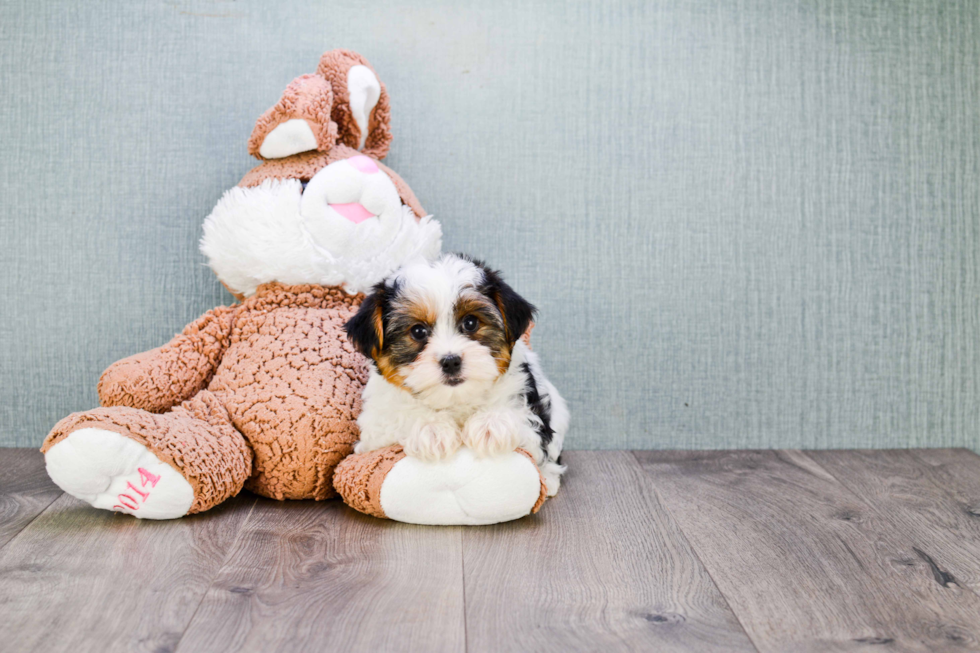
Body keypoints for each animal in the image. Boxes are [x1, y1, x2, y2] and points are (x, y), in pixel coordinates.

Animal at [344, 253, 568, 494]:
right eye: (418, 331)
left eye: (471, 323)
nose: (450, 362)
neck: (455, 400)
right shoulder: (374, 431)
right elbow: (399, 415)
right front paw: (432, 429)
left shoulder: (531, 415)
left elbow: (522, 421)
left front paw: (491, 423)